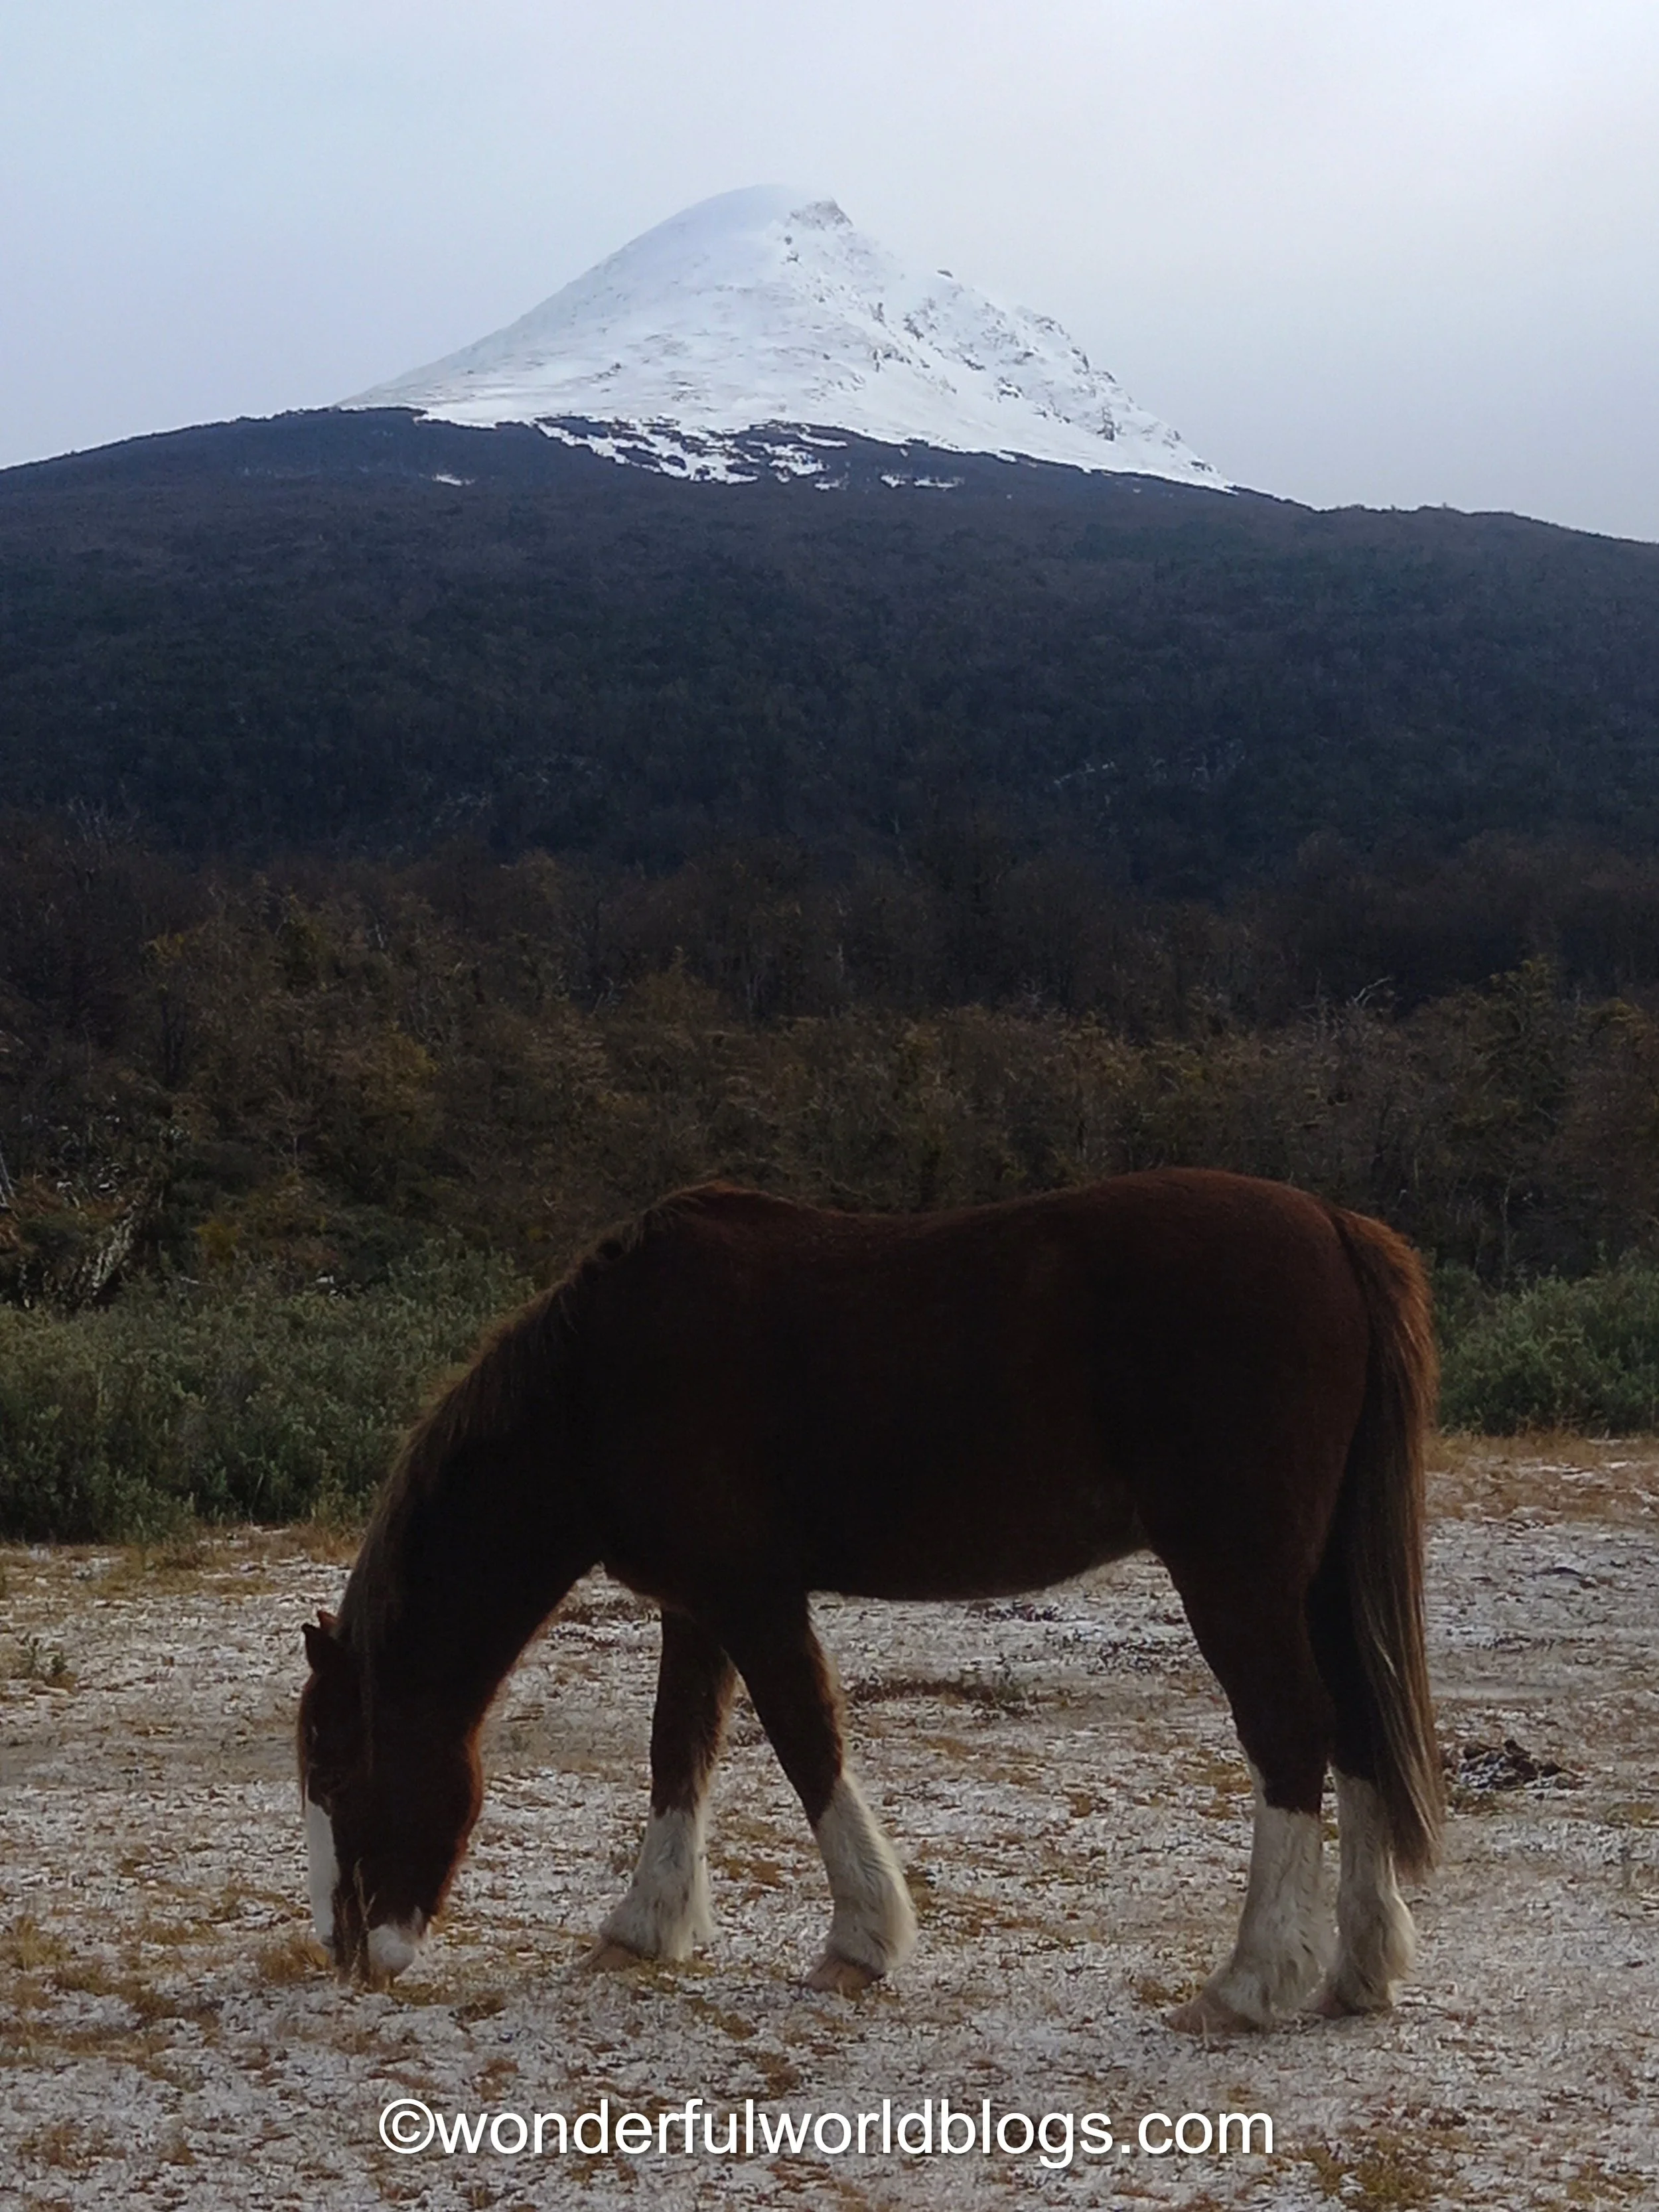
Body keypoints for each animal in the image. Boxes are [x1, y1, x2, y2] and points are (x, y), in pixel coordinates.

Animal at [297, 1168, 1441, 2033]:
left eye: (342, 1774)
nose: (350, 1949)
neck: (601, 1381)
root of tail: (1334, 1229)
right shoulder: (697, 1606)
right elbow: (678, 1753)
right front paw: (643, 1928)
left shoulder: (753, 1598)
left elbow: (807, 1744)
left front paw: (858, 1940)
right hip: (1315, 1579)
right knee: (1357, 1730)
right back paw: (1359, 1970)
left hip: (1234, 1572)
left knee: (1289, 1734)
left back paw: (1248, 1983)